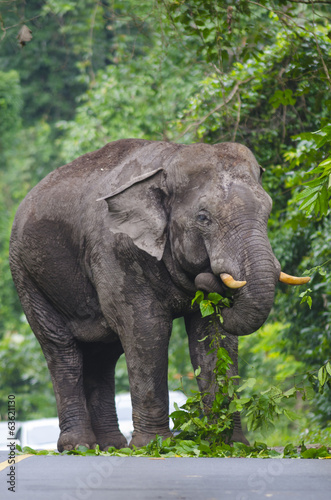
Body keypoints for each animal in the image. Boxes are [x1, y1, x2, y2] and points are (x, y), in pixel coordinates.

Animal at [9, 139, 310, 452]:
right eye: (204, 218)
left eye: (268, 211)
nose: (211, 278)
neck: (169, 161)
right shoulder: (117, 252)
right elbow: (147, 329)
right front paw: (154, 447)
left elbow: (213, 337)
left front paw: (229, 444)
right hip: (25, 273)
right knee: (62, 350)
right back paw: (79, 447)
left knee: (104, 354)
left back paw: (112, 446)